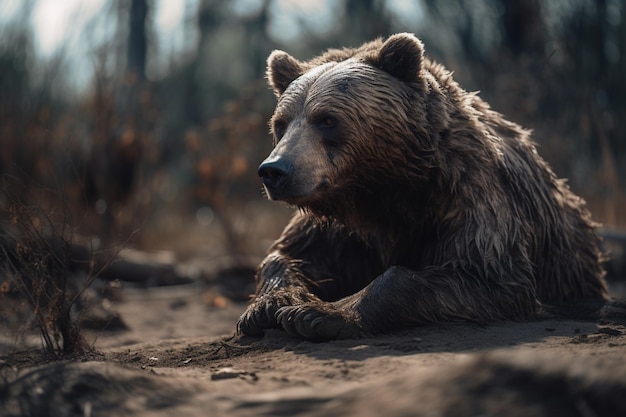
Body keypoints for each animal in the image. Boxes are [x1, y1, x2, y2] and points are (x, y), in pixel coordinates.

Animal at [235, 31, 604, 338]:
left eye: (327, 119)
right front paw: (268, 306)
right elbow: (288, 253)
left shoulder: (470, 195)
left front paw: (318, 313)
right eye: (281, 123)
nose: (274, 170)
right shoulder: (341, 224)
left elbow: (483, 272)